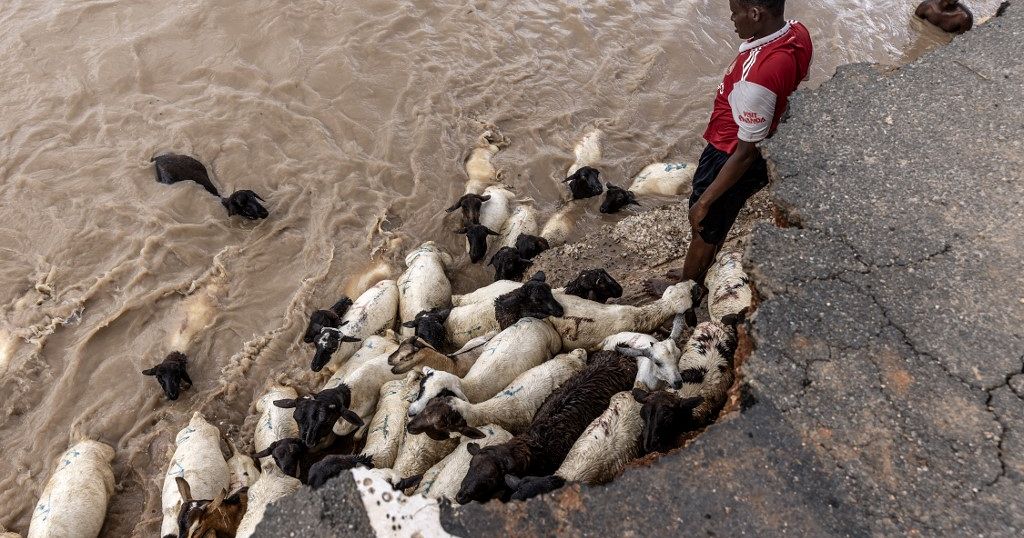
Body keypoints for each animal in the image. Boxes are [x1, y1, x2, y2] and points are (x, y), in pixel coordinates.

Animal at [407, 315, 565, 411]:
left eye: (439, 396)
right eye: (422, 388)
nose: (411, 413)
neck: (471, 386)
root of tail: (538, 320)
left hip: (554, 344)